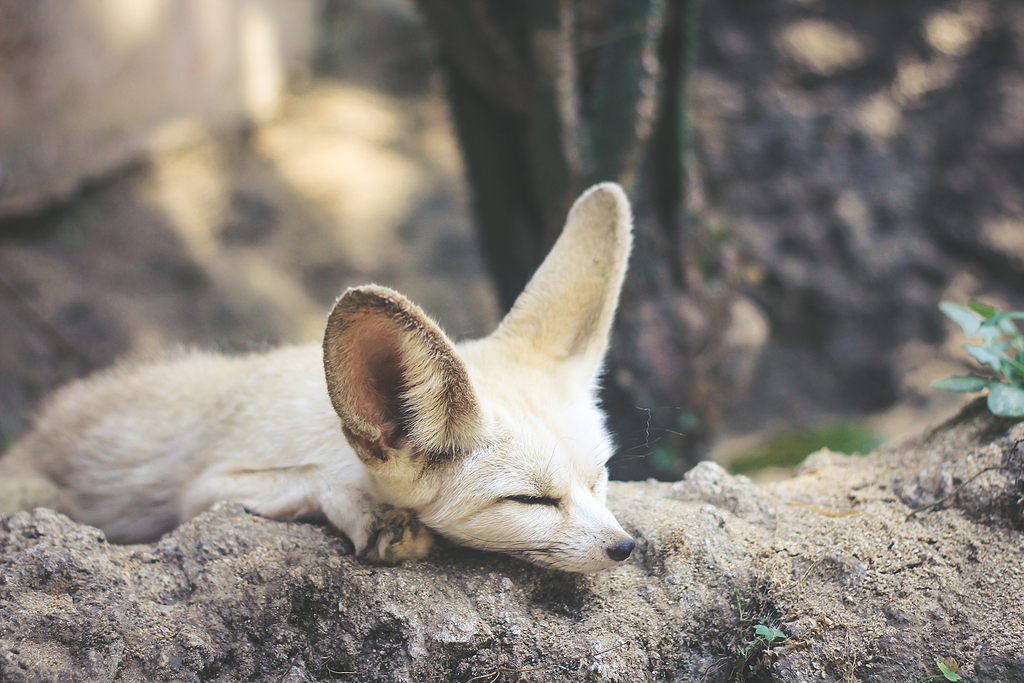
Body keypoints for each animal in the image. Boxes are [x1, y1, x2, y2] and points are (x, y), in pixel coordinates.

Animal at [0, 181, 634, 573]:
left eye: (600, 478)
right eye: (530, 500)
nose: (626, 547)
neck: (325, 423)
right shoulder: (203, 488)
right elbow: (308, 479)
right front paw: (371, 515)